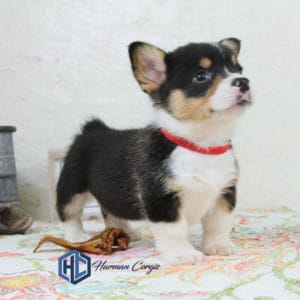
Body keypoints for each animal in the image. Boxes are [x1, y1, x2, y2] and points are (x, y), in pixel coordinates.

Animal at [55, 38, 251, 264]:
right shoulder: (161, 200)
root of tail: (93, 129)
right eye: (201, 76)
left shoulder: (224, 194)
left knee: (109, 210)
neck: (200, 145)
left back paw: (126, 232)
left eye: (237, 69)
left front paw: (218, 246)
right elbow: (175, 231)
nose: (244, 81)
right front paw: (182, 254)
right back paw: (77, 237)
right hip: (72, 187)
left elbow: (218, 225)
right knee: (68, 213)